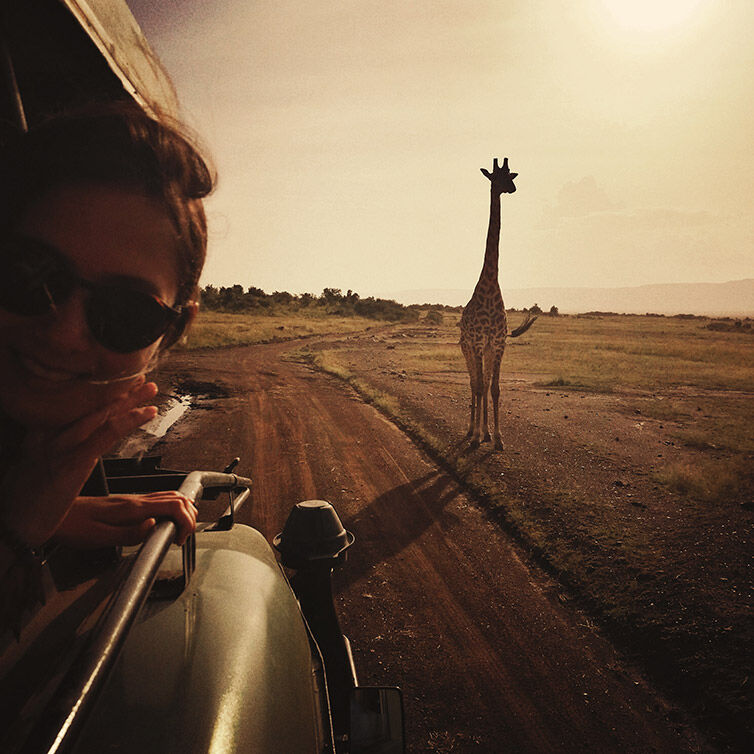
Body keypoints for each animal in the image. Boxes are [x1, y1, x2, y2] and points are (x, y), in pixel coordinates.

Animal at [458, 154, 536, 446]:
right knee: (473, 384)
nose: (512, 189)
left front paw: (499, 437)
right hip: (467, 349)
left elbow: (495, 388)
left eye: (510, 175)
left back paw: (486, 432)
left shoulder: (499, 344)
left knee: (483, 384)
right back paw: (472, 431)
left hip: (489, 350)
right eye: (496, 177)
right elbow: (480, 386)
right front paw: (477, 434)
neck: (491, 285)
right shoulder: (479, 343)